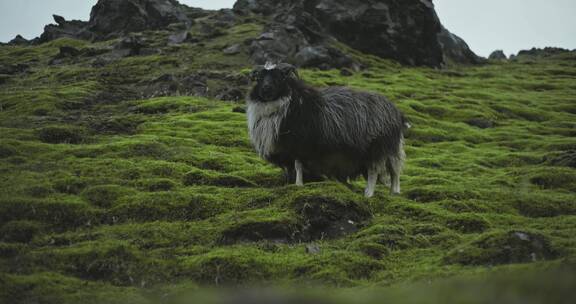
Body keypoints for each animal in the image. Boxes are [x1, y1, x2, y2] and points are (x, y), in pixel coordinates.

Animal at [245, 63, 408, 198]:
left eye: (279, 77)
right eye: (259, 78)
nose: (266, 89)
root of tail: (396, 112)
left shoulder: (301, 145)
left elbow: (298, 166)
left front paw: (298, 185)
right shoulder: (287, 151)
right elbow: (291, 169)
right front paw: (289, 183)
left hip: (377, 148)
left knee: (375, 171)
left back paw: (369, 193)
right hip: (390, 148)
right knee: (395, 170)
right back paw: (394, 192)